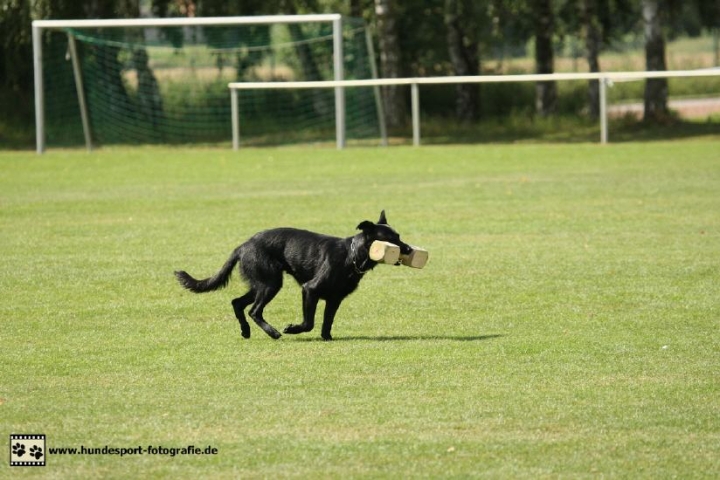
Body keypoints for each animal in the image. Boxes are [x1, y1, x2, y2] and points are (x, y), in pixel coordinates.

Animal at [174, 211, 410, 342]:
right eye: (391, 239)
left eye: (399, 236)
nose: (408, 249)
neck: (350, 256)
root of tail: (242, 246)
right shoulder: (310, 290)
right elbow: (309, 322)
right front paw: (293, 329)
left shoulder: (334, 299)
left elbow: (327, 322)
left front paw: (327, 338)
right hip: (270, 284)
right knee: (254, 311)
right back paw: (273, 333)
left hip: (260, 284)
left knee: (237, 303)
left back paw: (246, 331)